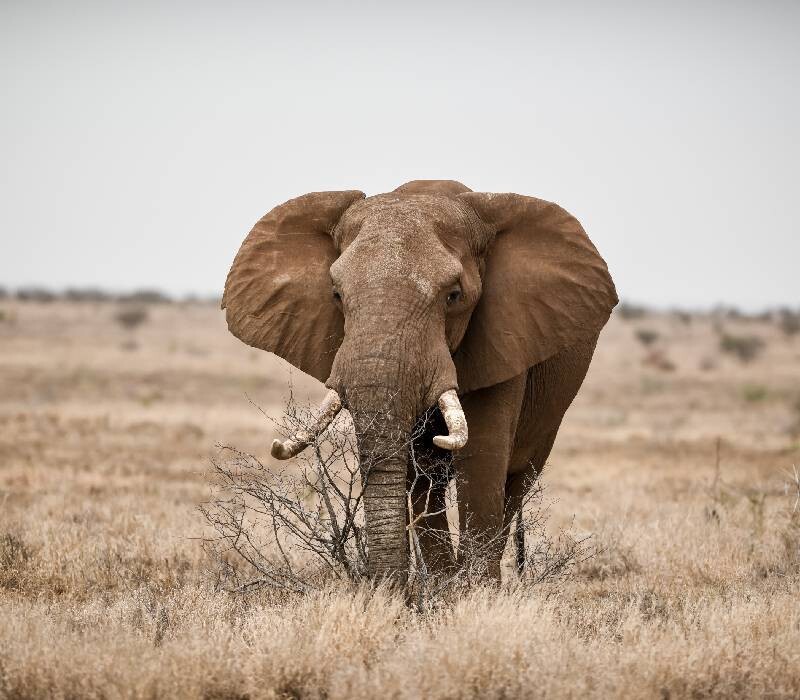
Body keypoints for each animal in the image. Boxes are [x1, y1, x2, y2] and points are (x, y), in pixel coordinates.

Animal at [225, 179, 620, 580]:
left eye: (454, 296)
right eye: (336, 295)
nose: (388, 589)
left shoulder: (504, 340)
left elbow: (482, 458)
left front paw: (473, 592)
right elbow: (419, 471)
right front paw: (443, 588)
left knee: (516, 482)